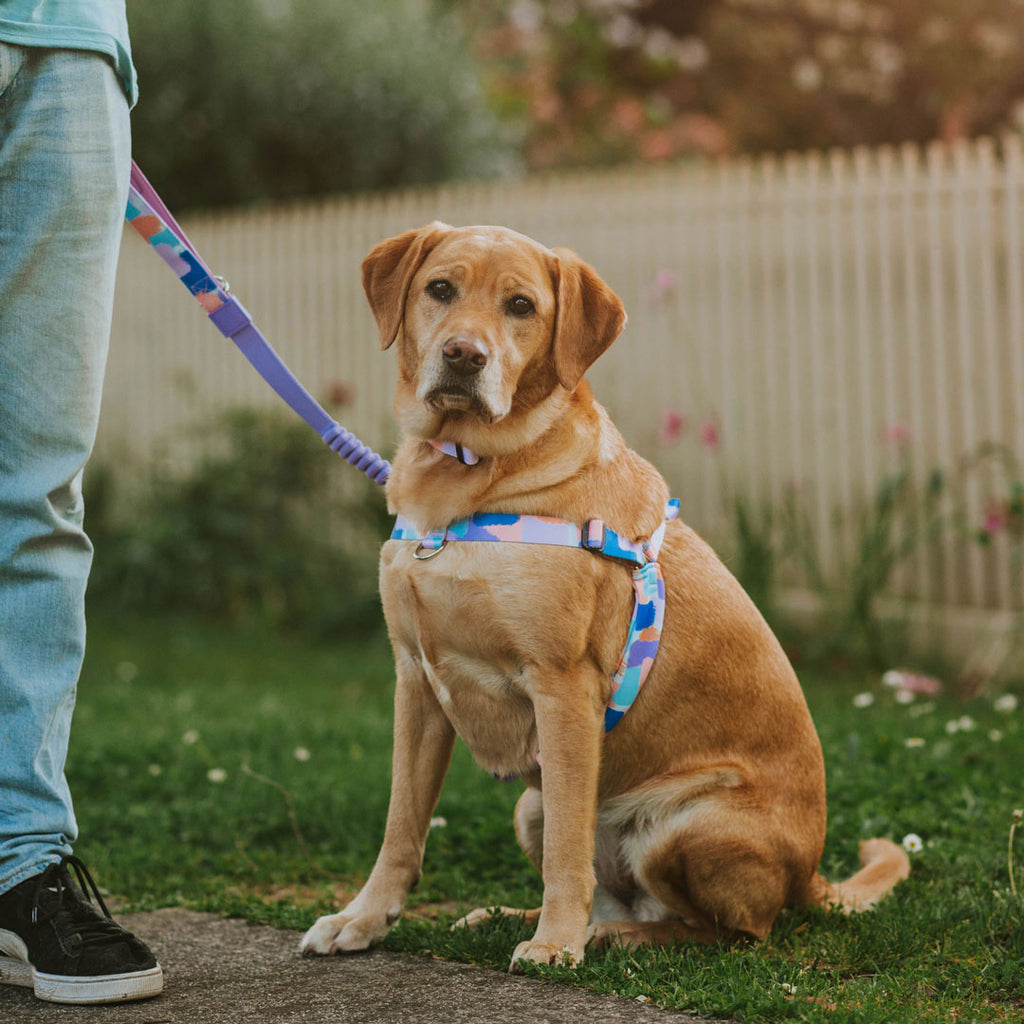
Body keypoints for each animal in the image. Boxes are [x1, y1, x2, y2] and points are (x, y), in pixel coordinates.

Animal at [299, 222, 909, 966]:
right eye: (440, 289)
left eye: (522, 306)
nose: (464, 355)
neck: (468, 479)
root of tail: (808, 875)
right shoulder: (416, 681)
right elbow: (401, 828)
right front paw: (361, 919)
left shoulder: (563, 688)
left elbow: (568, 850)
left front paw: (556, 946)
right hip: (529, 806)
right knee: (619, 889)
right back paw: (520, 916)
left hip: (686, 824)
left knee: (724, 930)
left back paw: (609, 935)